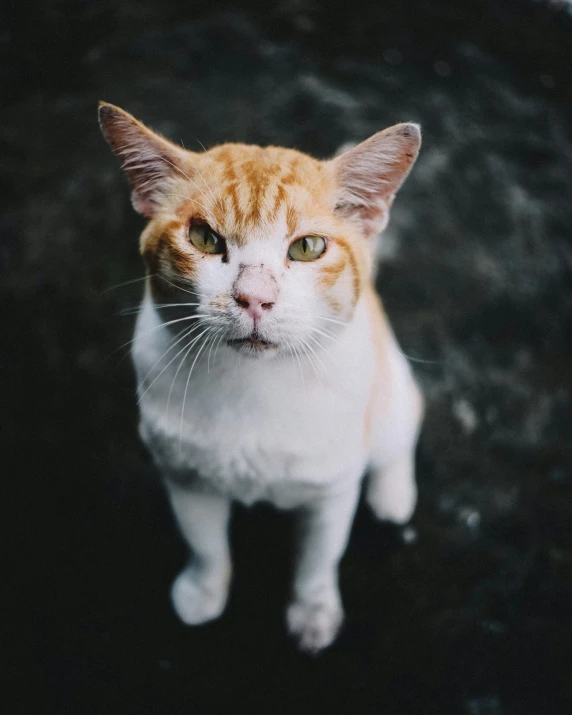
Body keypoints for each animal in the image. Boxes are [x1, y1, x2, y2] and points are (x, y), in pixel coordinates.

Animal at [98, 103, 422, 656]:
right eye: (204, 238)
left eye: (308, 247)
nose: (254, 298)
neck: (254, 383)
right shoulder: (185, 478)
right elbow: (206, 546)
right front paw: (203, 592)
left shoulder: (330, 492)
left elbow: (319, 561)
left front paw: (314, 613)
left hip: (389, 392)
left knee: (401, 429)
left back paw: (393, 493)